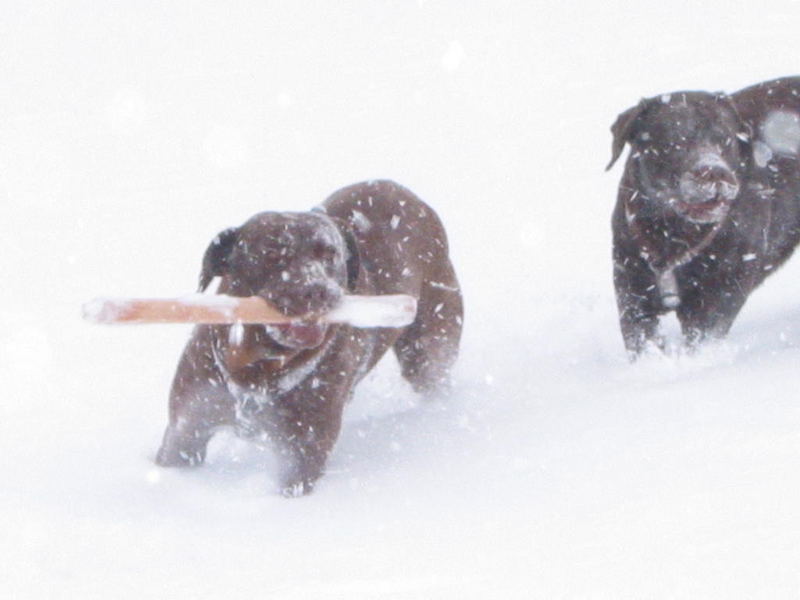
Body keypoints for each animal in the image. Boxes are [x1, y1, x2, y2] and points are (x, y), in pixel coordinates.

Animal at [155, 179, 462, 496]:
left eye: (329, 254)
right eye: (272, 253)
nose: (317, 290)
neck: (260, 366)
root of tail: (406, 194)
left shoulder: (303, 452)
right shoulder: (186, 427)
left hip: (430, 346)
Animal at [608, 75, 800, 356]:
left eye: (725, 139)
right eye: (673, 141)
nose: (714, 171)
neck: (672, 234)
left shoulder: (723, 291)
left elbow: (702, 336)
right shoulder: (631, 286)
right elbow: (641, 338)